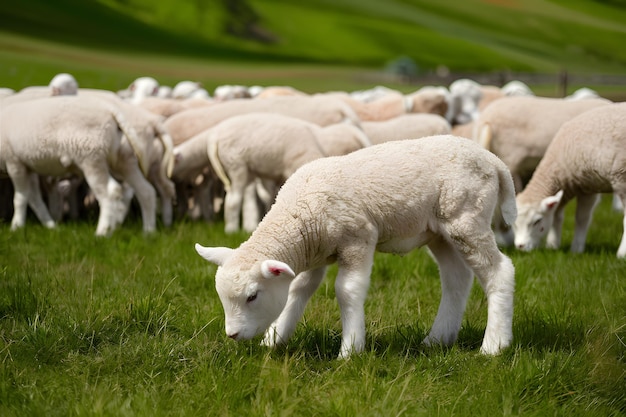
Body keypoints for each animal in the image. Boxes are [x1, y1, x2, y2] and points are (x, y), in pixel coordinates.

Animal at [1, 95, 153, 236]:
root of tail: (110, 110)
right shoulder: (28, 166)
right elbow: (34, 199)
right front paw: (50, 225)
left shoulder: (14, 162)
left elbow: (20, 197)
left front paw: (16, 227)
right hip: (124, 158)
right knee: (146, 190)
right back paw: (148, 232)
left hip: (91, 157)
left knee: (110, 192)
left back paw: (102, 233)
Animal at [194, 134, 512, 358]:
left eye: (252, 296)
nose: (232, 335)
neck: (298, 212)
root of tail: (494, 160)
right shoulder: (315, 251)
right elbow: (299, 290)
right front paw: (274, 338)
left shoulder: (357, 238)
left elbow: (347, 291)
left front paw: (350, 350)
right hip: (439, 232)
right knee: (456, 278)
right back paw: (436, 339)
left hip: (467, 217)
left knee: (499, 271)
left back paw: (494, 345)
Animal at [512, 102, 624, 256]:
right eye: (514, 223)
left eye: (537, 221)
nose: (520, 246)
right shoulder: (586, 186)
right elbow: (566, 218)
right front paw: (555, 246)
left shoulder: (590, 187)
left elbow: (581, 218)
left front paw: (575, 249)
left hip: (621, 176)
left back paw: (621, 254)